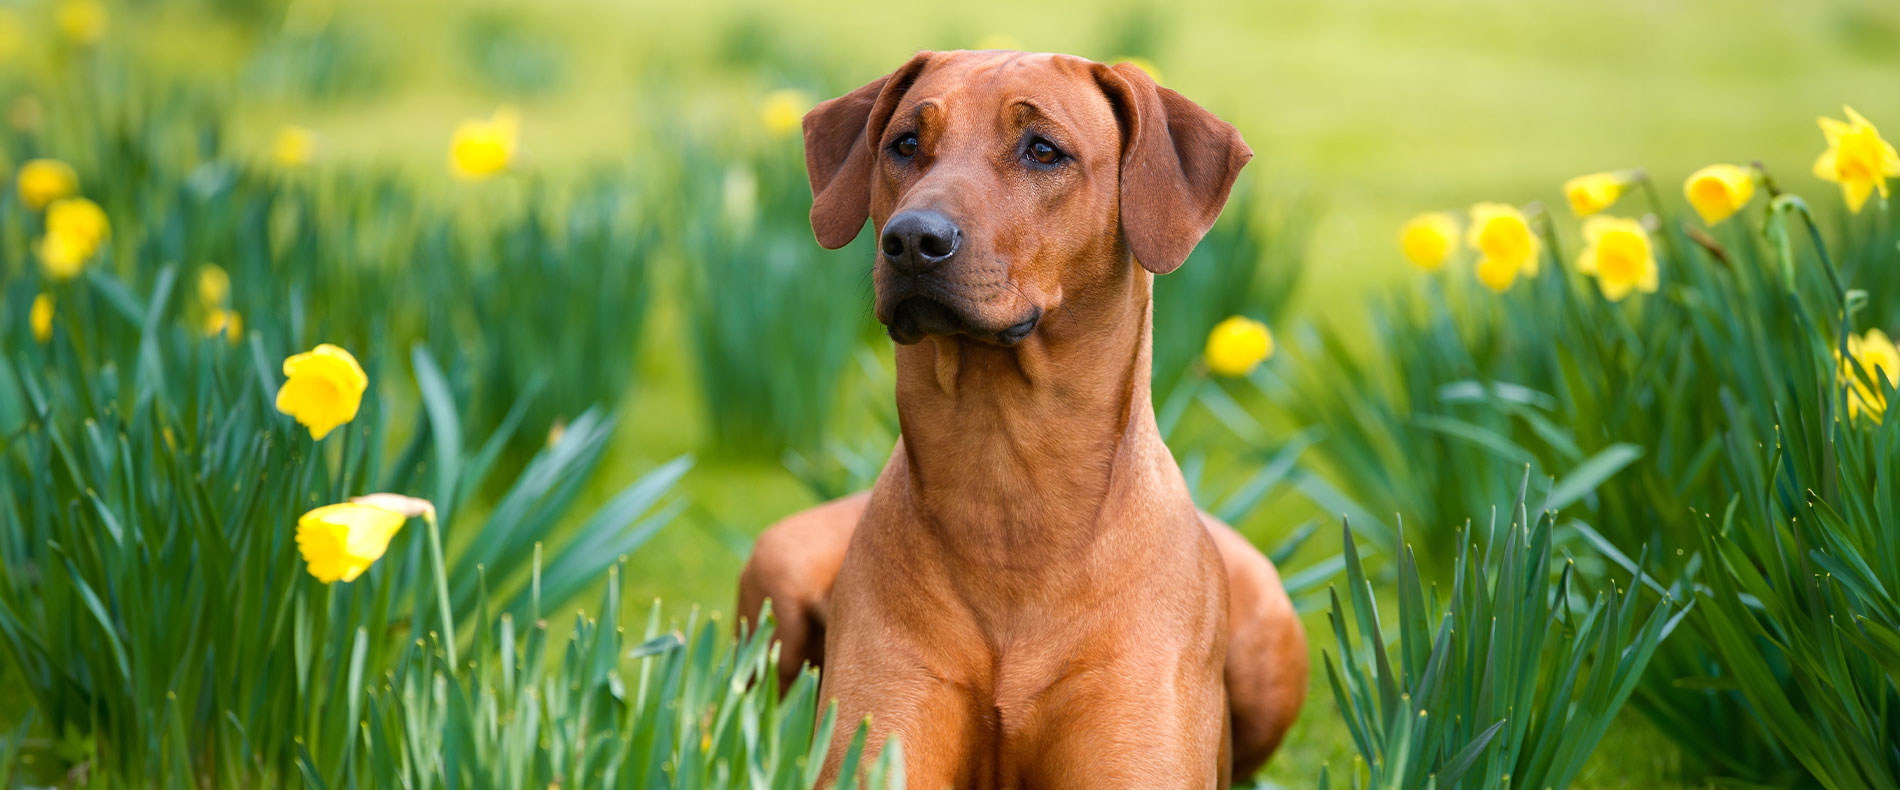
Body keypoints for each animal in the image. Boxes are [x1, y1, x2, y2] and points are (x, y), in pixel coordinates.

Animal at [737, 50, 1307, 790]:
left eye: (1042, 150)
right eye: (905, 144)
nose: (912, 239)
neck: (1007, 488)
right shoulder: (880, 735)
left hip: (1271, 625)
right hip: (777, 567)